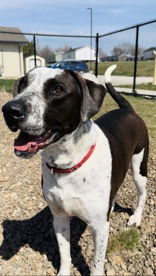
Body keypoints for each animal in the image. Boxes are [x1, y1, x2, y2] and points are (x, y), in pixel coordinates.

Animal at [2, 64, 149, 274]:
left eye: (57, 89)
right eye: (23, 84)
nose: (9, 110)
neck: (67, 165)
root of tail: (127, 109)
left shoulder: (100, 228)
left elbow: (97, 264)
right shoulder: (59, 217)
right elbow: (65, 253)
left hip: (139, 169)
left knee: (142, 194)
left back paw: (136, 218)